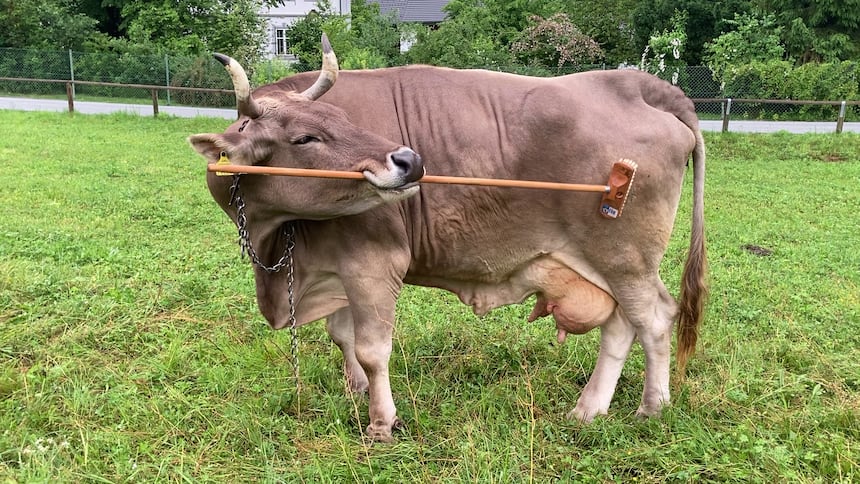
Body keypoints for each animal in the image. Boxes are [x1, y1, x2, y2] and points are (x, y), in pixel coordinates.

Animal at [189, 36, 707, 443]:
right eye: (304, 138)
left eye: (343, 117)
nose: (410, 160)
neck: (277, 243)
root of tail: (639, 85)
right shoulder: (334, 266)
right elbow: (342, 336)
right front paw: (355, 391)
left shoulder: (373, 263)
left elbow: (372, 350)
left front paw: (381, 422)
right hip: (606, 266)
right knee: (620, 324)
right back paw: (589, 408)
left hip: (626, 259)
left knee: (654, 320)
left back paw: (651, 407)